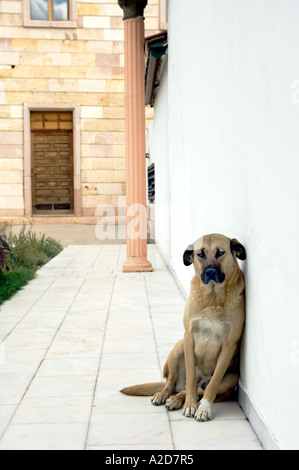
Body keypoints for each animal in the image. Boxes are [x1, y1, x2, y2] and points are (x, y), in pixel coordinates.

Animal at [120, 235, 247, 422]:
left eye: (220, 253)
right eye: (200, 254)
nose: (210, 273)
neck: (212, 299)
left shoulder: (229, 346)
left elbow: (212, 384)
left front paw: (204, 408)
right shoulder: (189, 336)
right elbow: (190, 380)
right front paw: (190, 405)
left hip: (231, 378)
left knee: (192, 389)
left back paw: (177, 400)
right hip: (179, 348)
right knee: (173, 384)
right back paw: (165, 395)